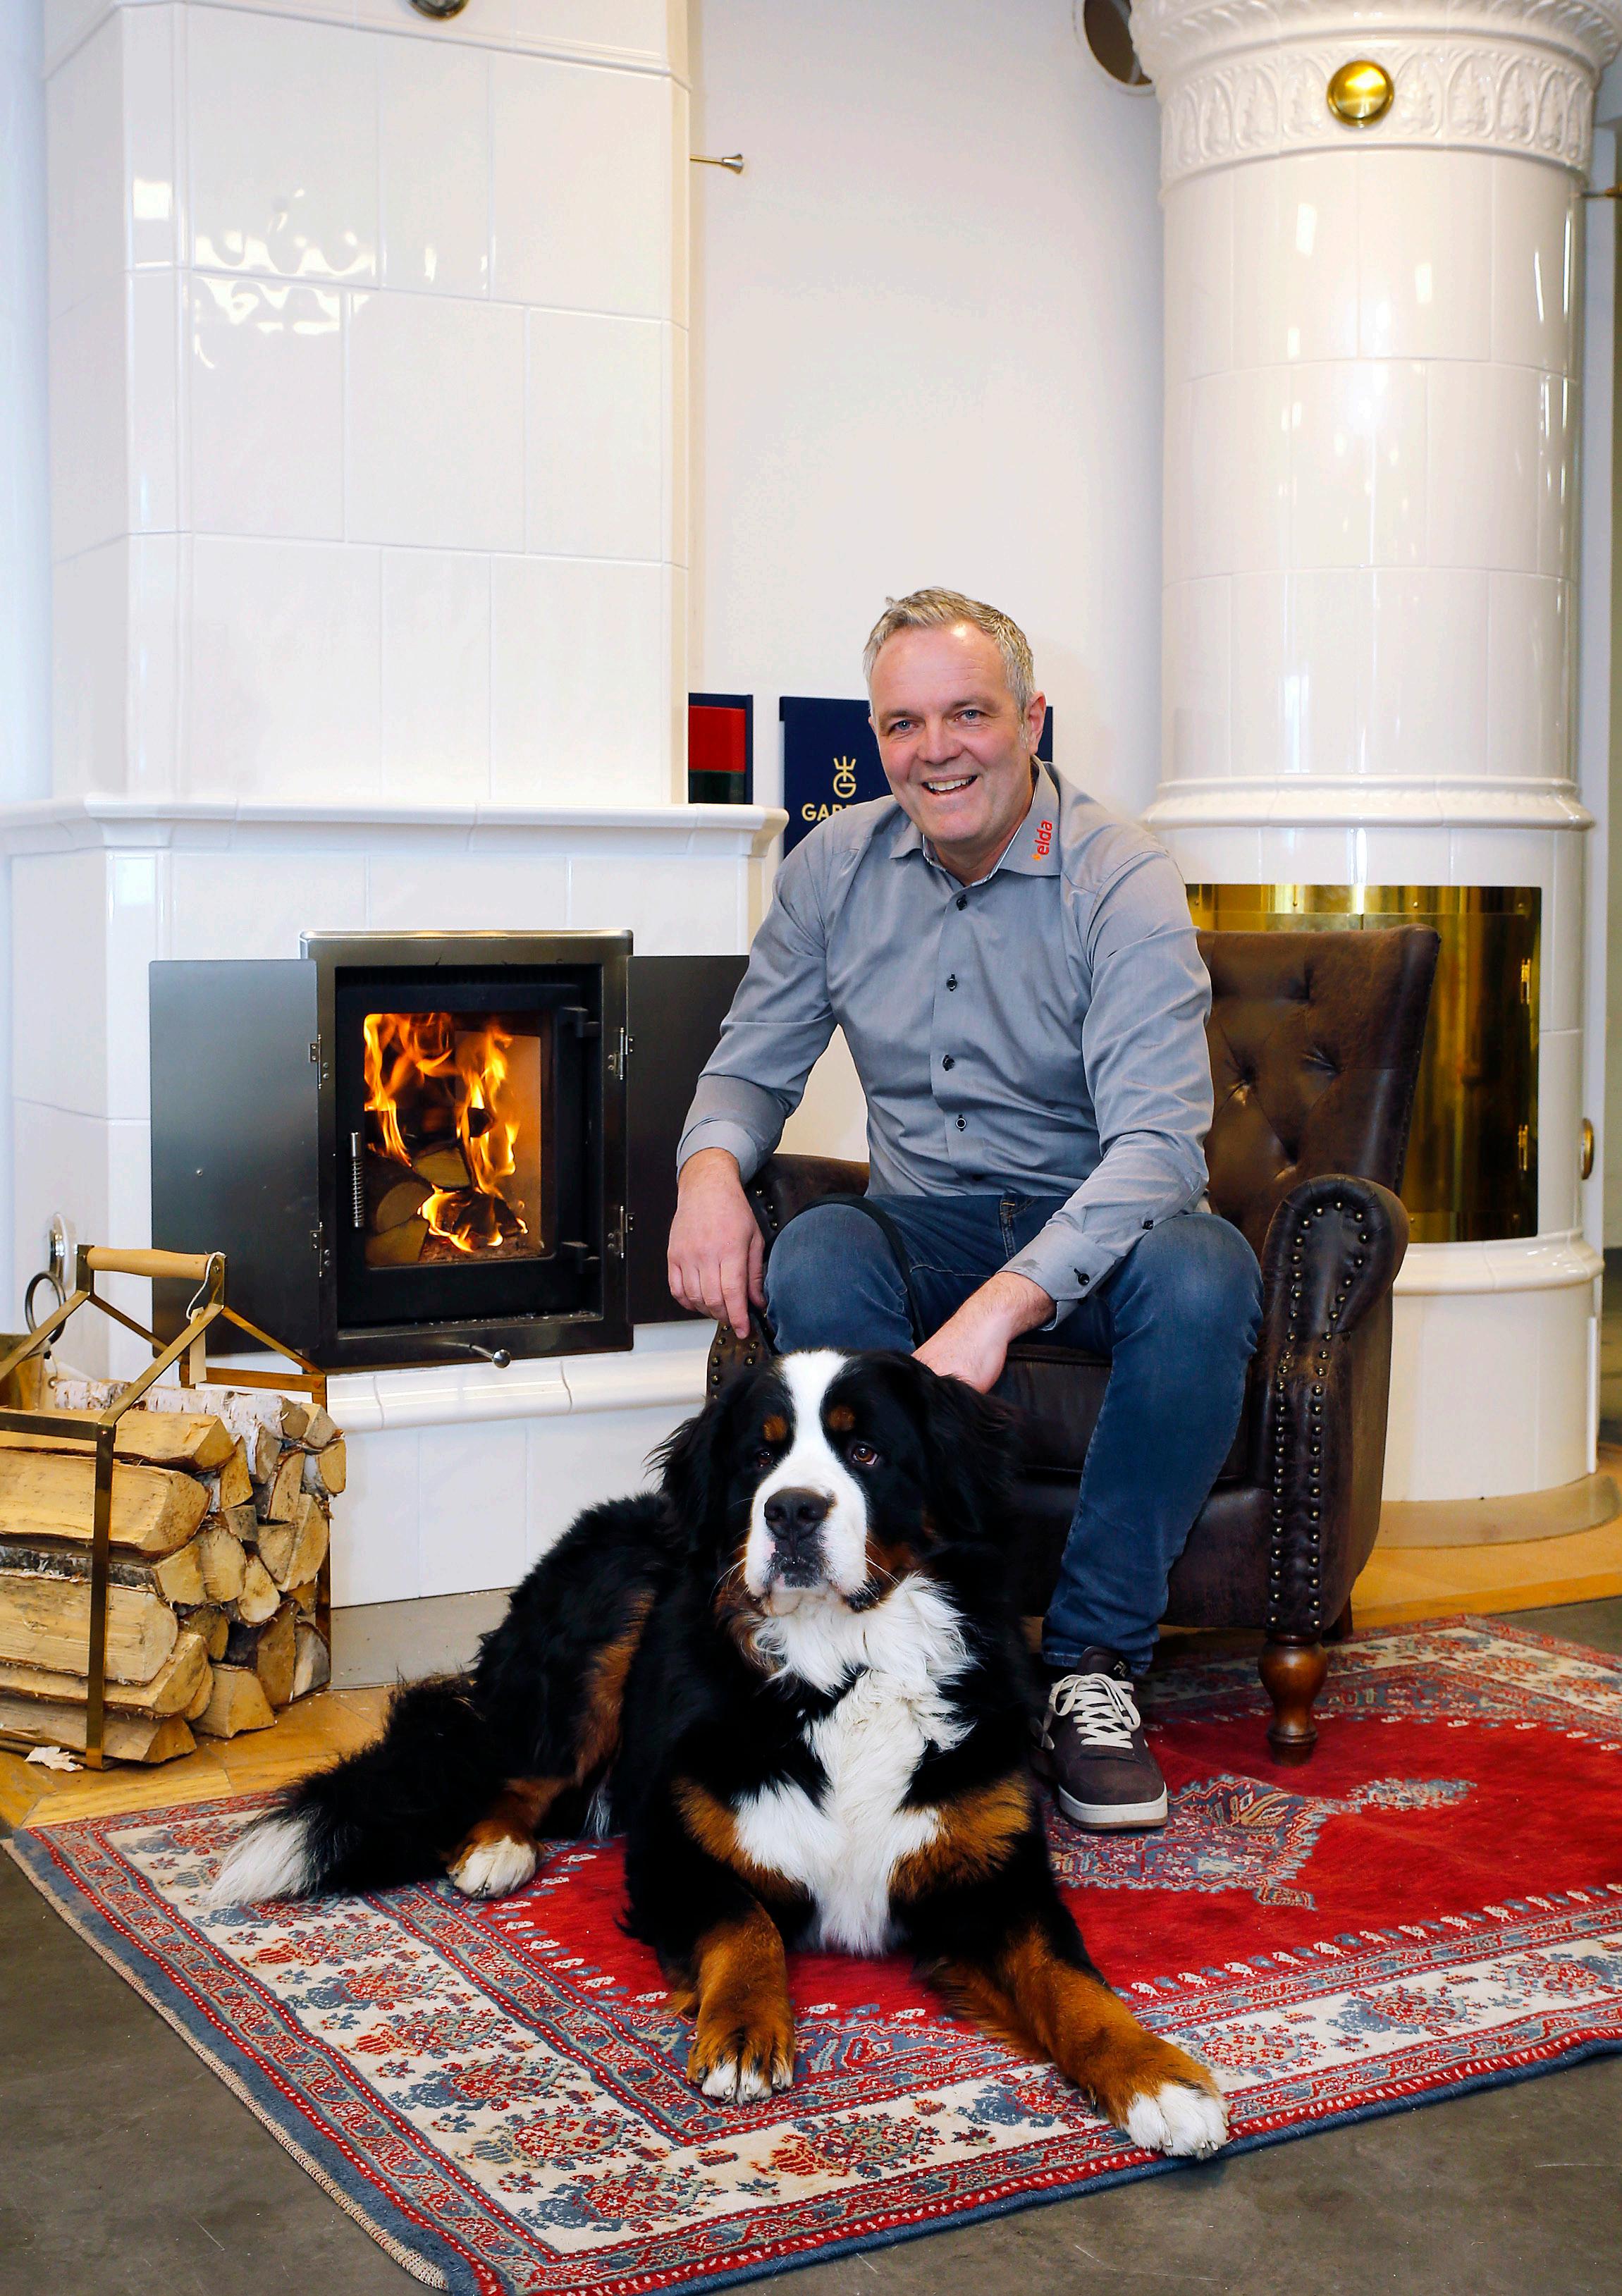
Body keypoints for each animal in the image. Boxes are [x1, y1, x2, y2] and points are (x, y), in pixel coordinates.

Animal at [212, 1348, 1226, 2158]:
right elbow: (746, 1923)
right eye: (761, 1454)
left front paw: (1160, 2078)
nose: (792, 1512)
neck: (845, 1671)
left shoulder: (996, 1874)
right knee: (514, 1767)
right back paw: (494, 1849)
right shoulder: (676, 1850)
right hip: (606, 1630)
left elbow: (1072, 1983)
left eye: (866, 1451)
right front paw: (743, 2031)